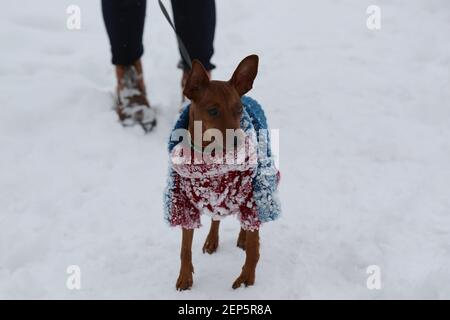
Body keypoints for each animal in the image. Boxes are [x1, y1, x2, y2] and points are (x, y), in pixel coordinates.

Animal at [176, 55, 260, 290]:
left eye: (239, 109)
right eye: (213, 111)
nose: (239, 142)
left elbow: (254, 248)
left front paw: (247, 277)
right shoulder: (186, 202)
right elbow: (185, 248)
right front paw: (184, 277)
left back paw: (242, 237)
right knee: (217, 217)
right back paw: (212, 240)